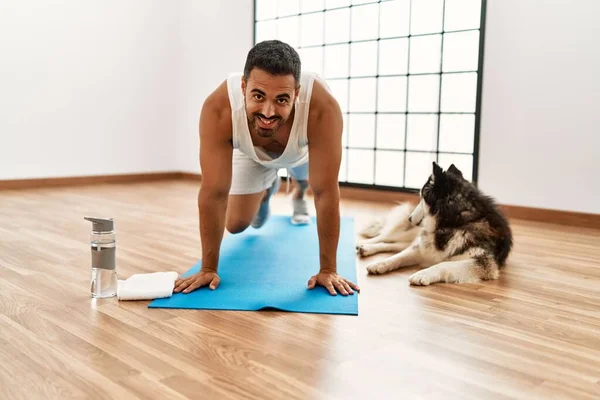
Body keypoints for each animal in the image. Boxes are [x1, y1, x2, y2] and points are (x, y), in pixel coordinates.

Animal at [356, 161, 510, 286]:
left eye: (422, 198)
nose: (410, 218)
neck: (454, 222)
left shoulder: (484, 264)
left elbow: (443, 264)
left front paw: (422, 274)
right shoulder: (423, 248)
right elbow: (399, 256)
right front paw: (381, 263)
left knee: (396, 245)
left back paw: (366, 248)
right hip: (411, 235)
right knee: (387, 238)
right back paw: (363, 245)